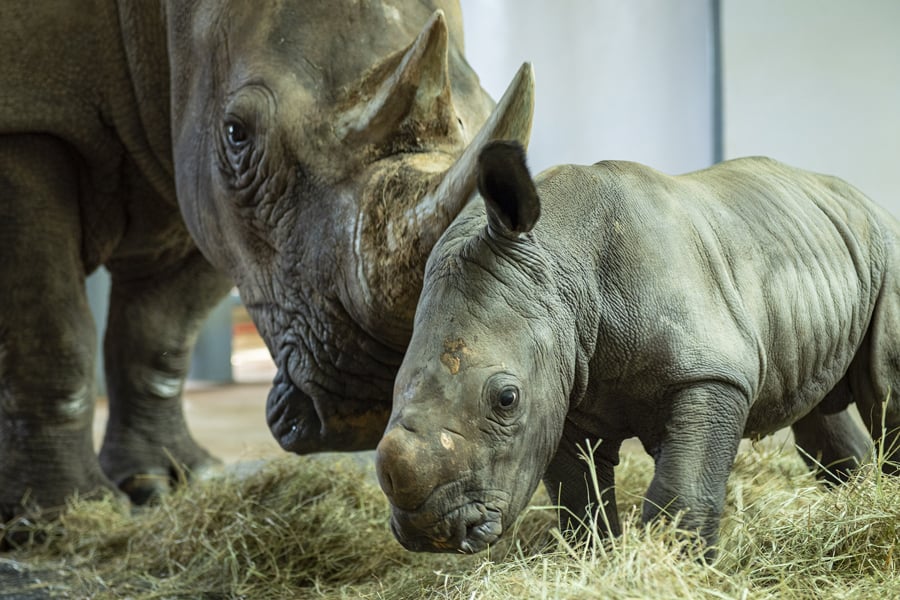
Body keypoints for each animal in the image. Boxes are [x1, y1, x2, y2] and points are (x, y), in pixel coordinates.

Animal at [0, 0, 534, 521]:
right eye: (237, 133)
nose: (367, 409)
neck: (157, 18)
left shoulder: (193, 174)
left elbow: (160, 329)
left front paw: (166, 483)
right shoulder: (27, 121)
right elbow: (52, 331)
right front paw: (62, 514)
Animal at [375, 140, 900, 554]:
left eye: (506, 398)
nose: (431, 532)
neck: (563, 265)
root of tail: (863, 201)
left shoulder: (709, 370)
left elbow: (684, 485)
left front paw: (674, 561)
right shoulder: (565, 388)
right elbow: (578, 496)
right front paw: (598, 559)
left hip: (888, 249)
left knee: (883, 390)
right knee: (815, 406)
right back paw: (851, 494)